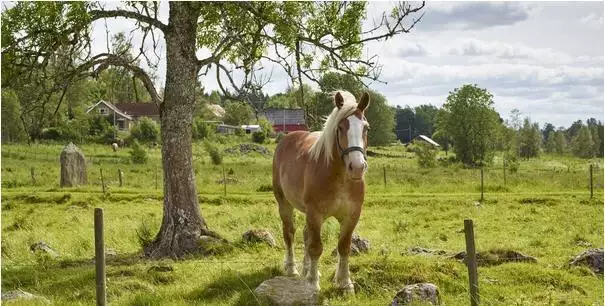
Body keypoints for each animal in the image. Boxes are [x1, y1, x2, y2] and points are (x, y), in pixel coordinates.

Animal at [272, 89, 368, 292]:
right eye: (340, 128)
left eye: (366, 128)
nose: (357, 167)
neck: (339, 178)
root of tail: (287, 139)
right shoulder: (315, 213)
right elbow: (316, 247)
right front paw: (312, 283)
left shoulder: (352, 215)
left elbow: (344, 247)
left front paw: (344, 283)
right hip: (284, 203)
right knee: (290, 233)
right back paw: (292, 269)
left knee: (305, 235)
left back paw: (307, 268)